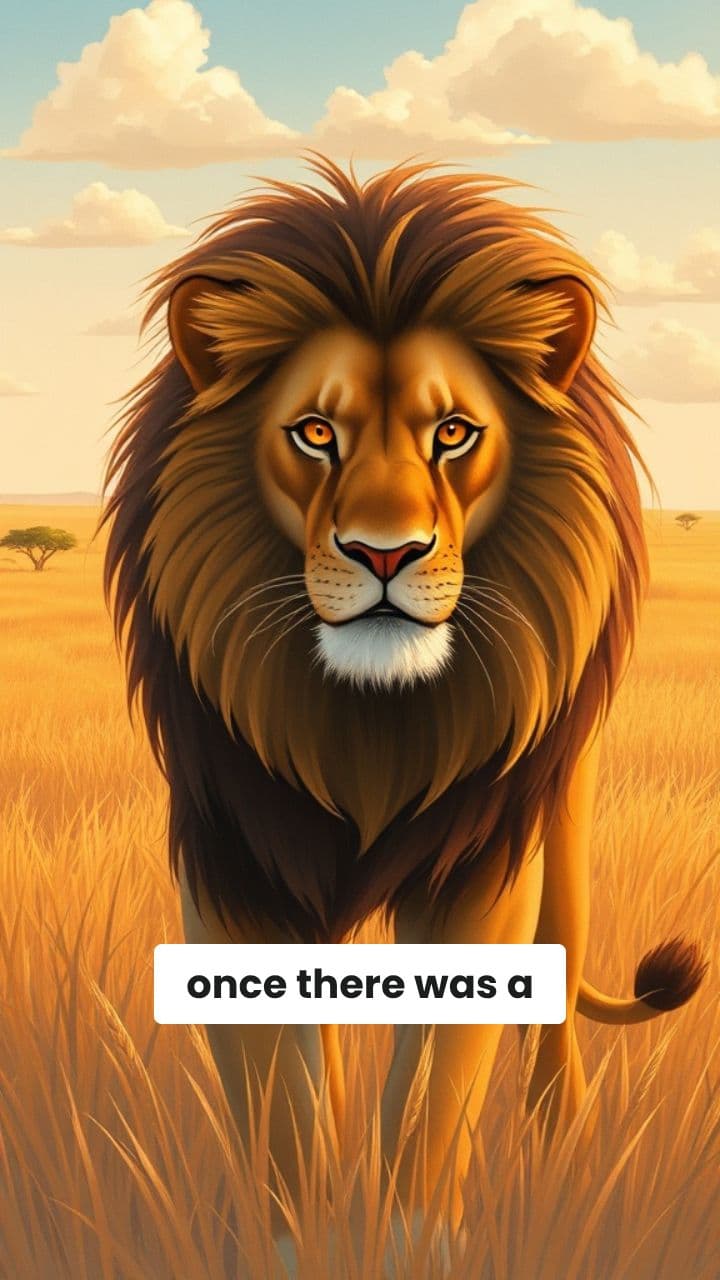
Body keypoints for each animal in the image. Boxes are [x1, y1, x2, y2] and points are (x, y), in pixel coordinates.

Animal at [103, 157, 705, 1220]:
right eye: (314, 432)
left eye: (454, 432)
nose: (385, 553)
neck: (367, 726)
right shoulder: (234, 862)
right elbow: (283, 1114)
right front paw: (300, 1229)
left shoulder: (481, 869)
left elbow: (430, 1105)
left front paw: (408, 1229)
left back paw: (565, 1151)